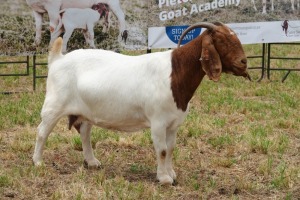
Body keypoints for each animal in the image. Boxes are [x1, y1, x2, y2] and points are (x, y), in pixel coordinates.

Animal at [32, 21, 251, 184]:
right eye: (221, 40)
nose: (243, 62)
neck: (175, 72)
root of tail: (58, 60)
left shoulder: (173, 124)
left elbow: (171, 149)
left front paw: (171, 174)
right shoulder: (158, 122)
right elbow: (162, 150)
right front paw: (164, 179)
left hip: (86, 112)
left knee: (85, 133)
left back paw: (92, 162)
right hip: (53, 106)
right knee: (42, 132)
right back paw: (37, 162)